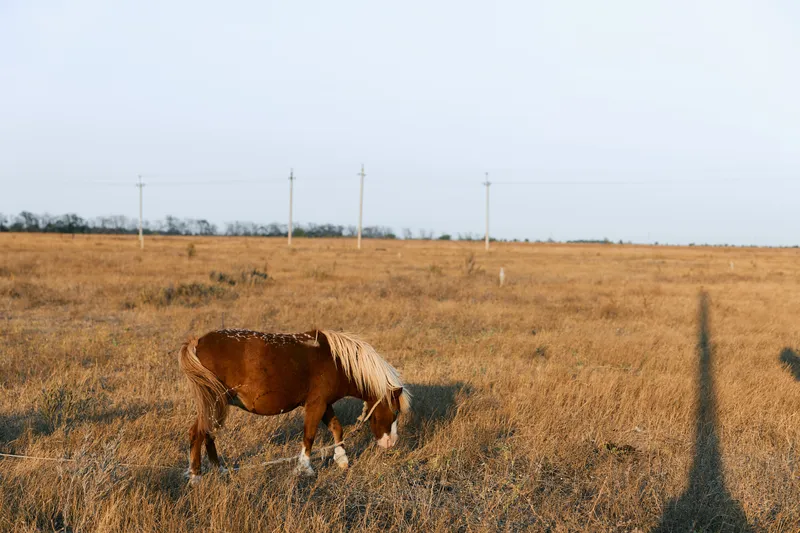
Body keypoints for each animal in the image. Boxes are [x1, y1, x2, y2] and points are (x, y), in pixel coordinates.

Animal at [178, 328, 411, 484]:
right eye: (394, 411)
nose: (391, 443)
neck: (337, 362)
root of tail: (197, 342)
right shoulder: (316, 404)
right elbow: (309, 436)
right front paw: (305, 468)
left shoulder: (324, 404)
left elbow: (337, 428)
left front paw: (342, 459)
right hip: (214, 402)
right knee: (198, 432)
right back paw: (196, 477)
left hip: (215, 405)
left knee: (207, 433)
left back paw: (219, 469)